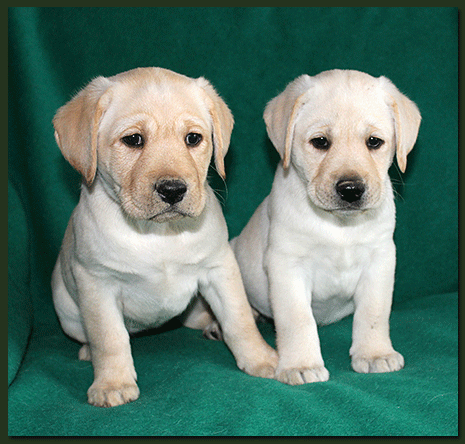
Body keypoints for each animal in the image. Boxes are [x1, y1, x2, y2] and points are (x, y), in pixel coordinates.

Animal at [50, 67, 276, 408]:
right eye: (133, 140)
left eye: (193, 138)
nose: (173, 190)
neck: (160, 234)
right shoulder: (97, 283)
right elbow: (109, 338)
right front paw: (113, 382)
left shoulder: (219, 268)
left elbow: (239, 321)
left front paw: (262, 359)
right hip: (67, 312)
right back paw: (88, 352)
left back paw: (215, 326)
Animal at [230, 69, 418, 386]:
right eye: (320, 142)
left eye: (374, 142)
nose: (351, 189)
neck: (340, 225)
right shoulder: (286, 265)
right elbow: (297, 319)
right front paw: (300, 364)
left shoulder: (380, 259)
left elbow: (374, 312)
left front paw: (375, 354)